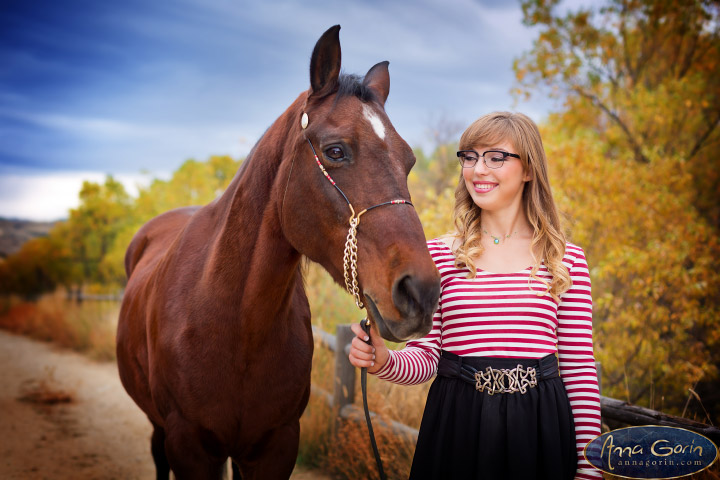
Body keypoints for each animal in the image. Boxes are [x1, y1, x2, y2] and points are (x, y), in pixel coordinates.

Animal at [116, 26, 438, 480]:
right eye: (335, 150)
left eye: (408, 160)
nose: (421, 292)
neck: (239, 326)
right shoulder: (189, 446)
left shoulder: (275, 446)